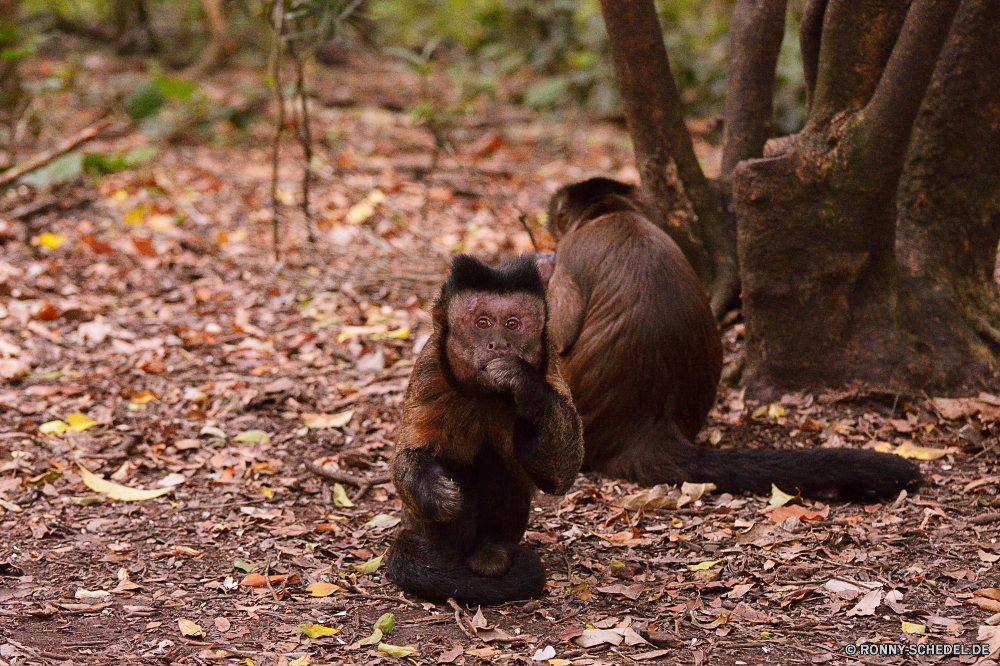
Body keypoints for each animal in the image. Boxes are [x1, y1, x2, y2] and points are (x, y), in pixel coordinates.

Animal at [384, 252, 584, 604]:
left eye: (512, 324)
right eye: (482, 323)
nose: (499, 345)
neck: (484, 393)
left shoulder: (551, 367)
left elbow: (560, 477)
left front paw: (522, 382)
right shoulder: (429, 370)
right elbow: (407, 456)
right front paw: (435, 492)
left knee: (499, 468)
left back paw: (487, 550)